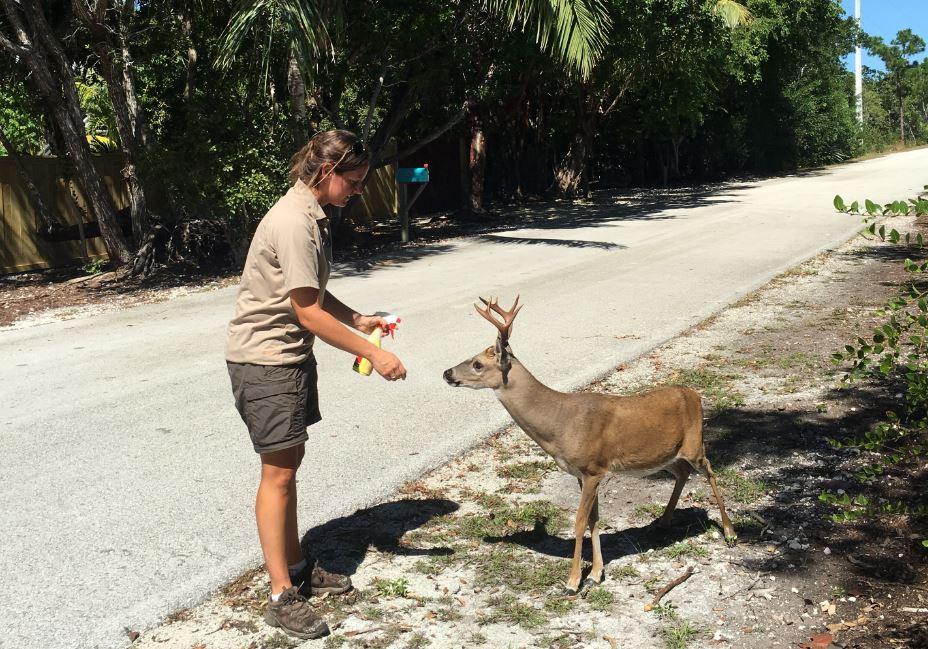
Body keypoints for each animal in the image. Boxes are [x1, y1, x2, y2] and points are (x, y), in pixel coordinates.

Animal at [443, 296, 737, 594]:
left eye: (478, 364)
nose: (446, 373)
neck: (561, 423)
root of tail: (694, 394)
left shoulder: (593, 468)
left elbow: (580, 522)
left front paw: (573, 582)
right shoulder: (581, 474)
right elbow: (594, 520)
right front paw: (596, 573)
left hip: (694, 444)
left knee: (710, 470)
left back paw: (729, 531)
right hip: (668, 455)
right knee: (682, 473)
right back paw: (662, 523)